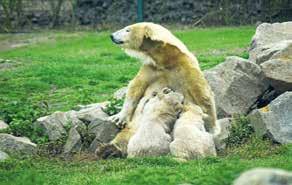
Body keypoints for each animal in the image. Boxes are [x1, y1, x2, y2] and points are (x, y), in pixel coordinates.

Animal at [96, 21, 217, 158]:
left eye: (127, 30)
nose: (111, 35)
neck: (167, 59)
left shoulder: (186, 67)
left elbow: (203, 94)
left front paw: (214, 130)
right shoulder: (151, 68)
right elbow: (136, 87)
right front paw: (119, 118)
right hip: (138, 121)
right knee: (129, 132)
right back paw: (108, 149)